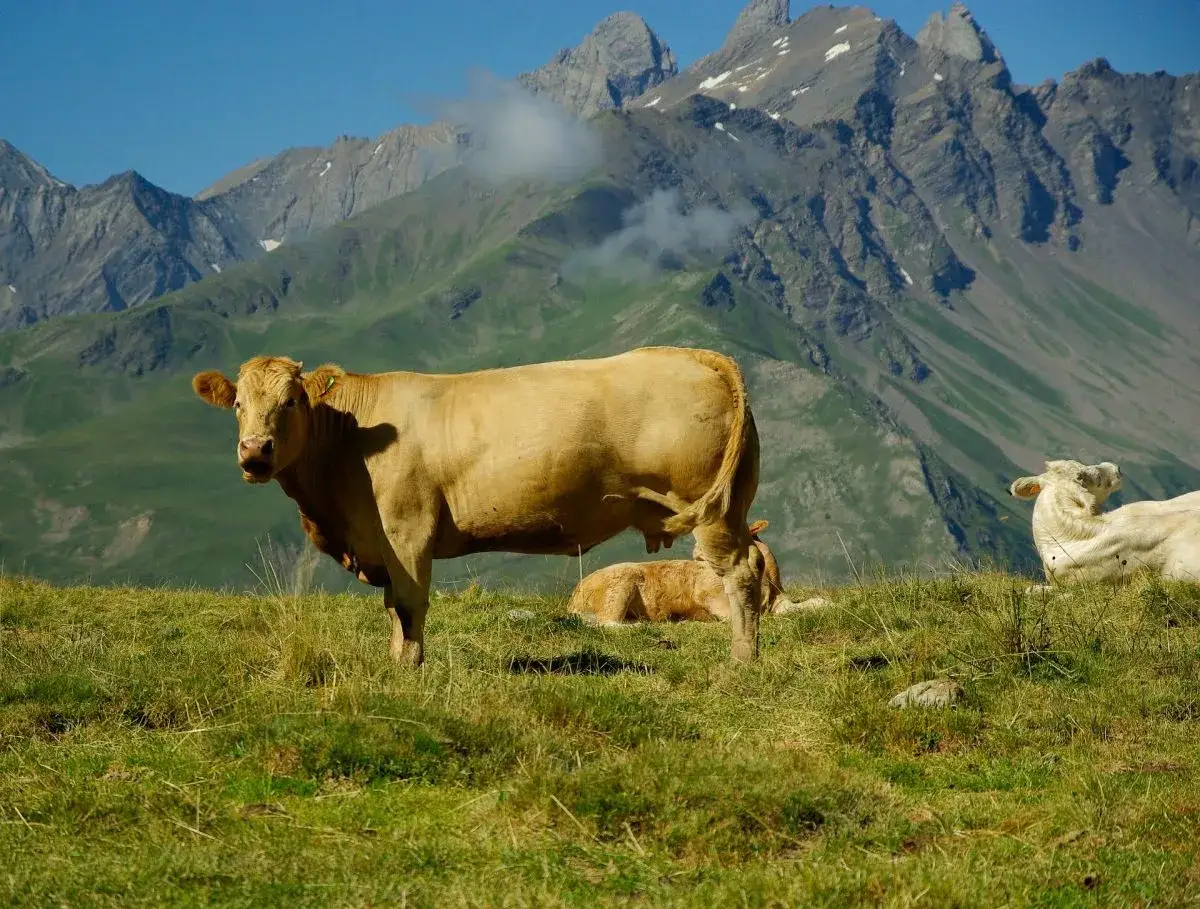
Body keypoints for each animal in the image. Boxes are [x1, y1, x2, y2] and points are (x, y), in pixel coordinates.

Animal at [191, 347, 765, 665]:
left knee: (738, 575)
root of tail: (697, 355)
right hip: (734, 505)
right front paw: (394, 661)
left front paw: (409, 669)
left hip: (709, 509)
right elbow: (392, 607)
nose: (254, 452)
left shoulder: (407, 530)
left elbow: (409, 604)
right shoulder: (383, 542)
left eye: (290, 401)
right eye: (238, 404)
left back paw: (743, 660)